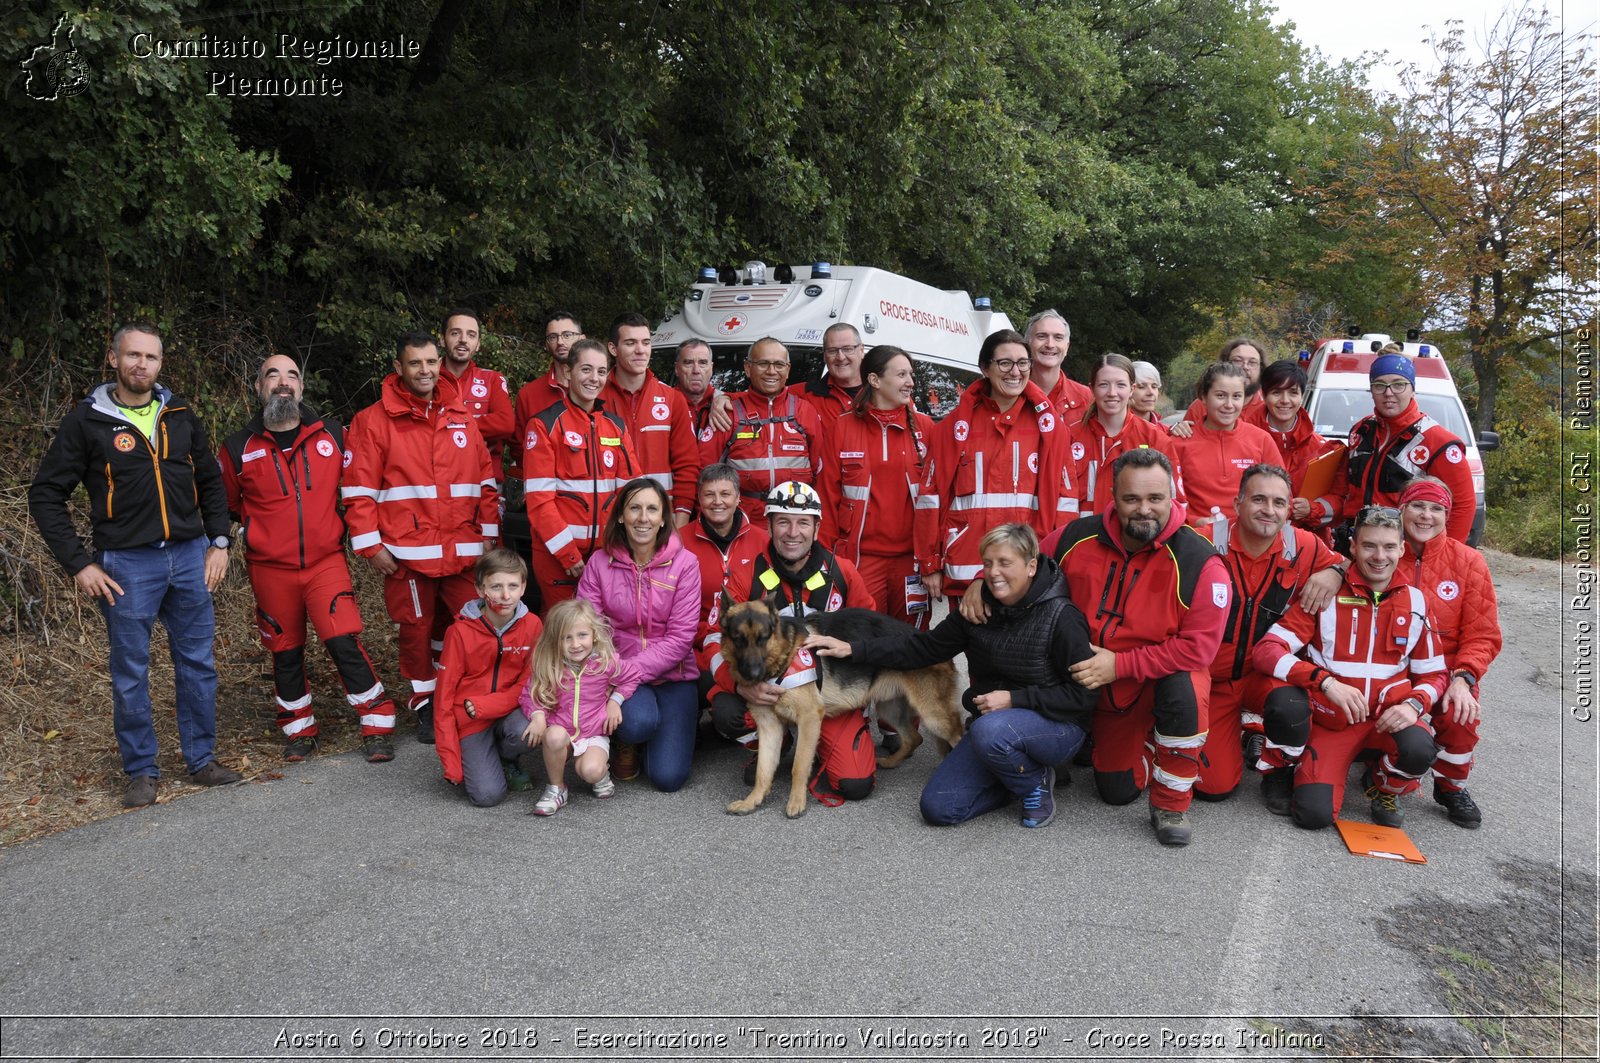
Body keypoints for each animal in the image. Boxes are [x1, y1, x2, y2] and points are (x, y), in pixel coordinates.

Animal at [723, 601, 960, 816]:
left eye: (763, 638)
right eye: (738, 640)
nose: (752, 673)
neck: (783, 655)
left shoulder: (809, 719)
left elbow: (799, 765)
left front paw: (797, 802)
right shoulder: (769, 726)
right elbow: (763, 770)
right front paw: (752, 801)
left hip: (934, 717)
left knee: (956, 737)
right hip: (889, 710)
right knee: (914, 738)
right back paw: (891, 762)